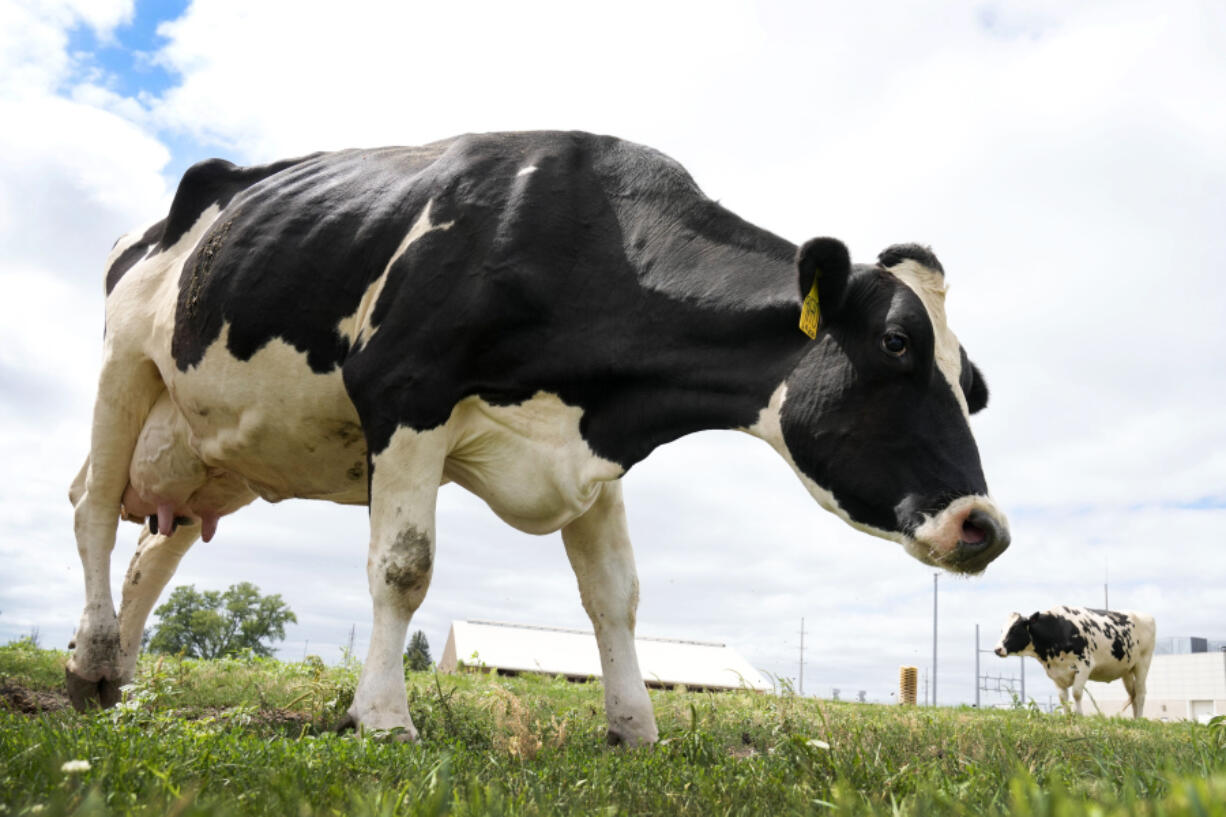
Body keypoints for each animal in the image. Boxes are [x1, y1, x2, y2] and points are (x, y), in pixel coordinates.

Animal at [62, 128, 1010, 745]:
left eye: (973, 383)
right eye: (897, 343)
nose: (985, 526)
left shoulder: (592, 450)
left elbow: (616, 596)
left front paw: (635, 727)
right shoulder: (405, 393)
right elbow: (403, 567)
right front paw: (383, 717)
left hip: (207, 445)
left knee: (156, 549)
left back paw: (123, 684)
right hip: (122, 366)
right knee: (95, 509)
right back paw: (92, 664)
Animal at [995, 601, 1157, 716]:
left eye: (1015, 629)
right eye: (1002, 630)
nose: (997, 649)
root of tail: (1147, 616)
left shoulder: (1084, 665)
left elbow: (1076, 693)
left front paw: (1079, 716)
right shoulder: (1056, 674)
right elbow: (1063, 699)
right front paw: (1067, 718)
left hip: (1143, 663)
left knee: (1140, 693)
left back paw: (1140, 719)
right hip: (1126, 670)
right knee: (1133, 693)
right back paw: (1134, 719)